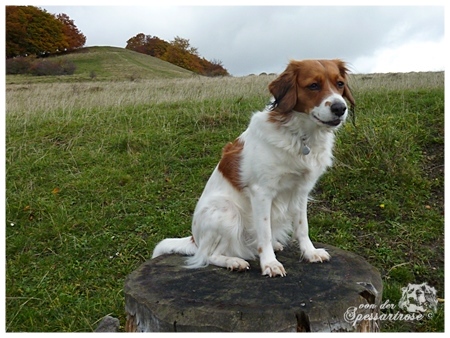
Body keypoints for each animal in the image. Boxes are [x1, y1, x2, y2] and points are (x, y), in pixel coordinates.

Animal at [151, 59, 356, 276]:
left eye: (340, 84)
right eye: (314, 85)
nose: (340, 108)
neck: (299, 135)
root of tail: (195, 239)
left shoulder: (301, 190)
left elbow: (302, 227)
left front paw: (310, 252)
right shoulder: (262, 192)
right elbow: (264, 232)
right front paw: (270, 263)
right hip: (227, 212)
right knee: (208, 255)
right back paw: (233, 261)